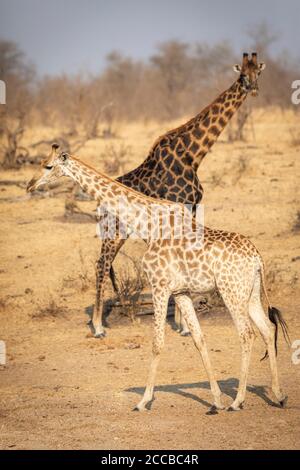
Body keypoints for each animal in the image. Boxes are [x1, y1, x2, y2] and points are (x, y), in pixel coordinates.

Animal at [27, 146, 290, 412]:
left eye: (48, 166)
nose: (29, 185)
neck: (147, 225)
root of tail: (257, 258)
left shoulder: (159, 286)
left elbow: (157, 343)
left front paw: (143, 401)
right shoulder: (181, 292)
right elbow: (199, 338)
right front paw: (216, 400)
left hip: (231, 291)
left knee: (247, 334)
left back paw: (238, 401)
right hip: (250, 291)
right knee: (268, 329)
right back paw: (278, 395)